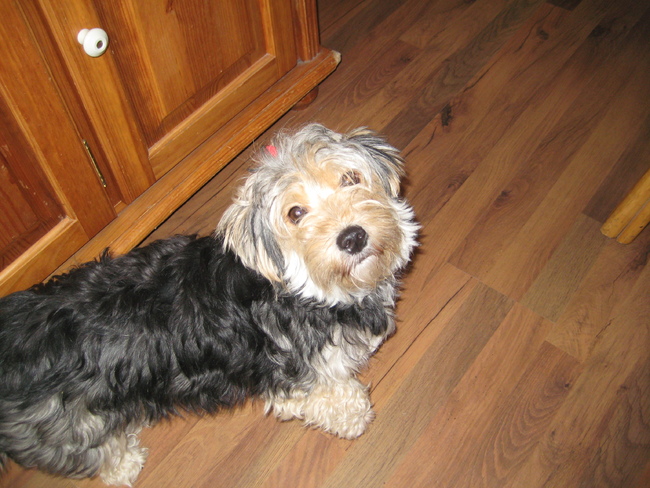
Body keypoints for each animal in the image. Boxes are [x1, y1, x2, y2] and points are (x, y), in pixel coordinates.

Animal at [0, 124, 418, 486]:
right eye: (295, 213)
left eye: (351, 178)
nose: (353, 237)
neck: (308, 290)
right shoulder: (303, 375)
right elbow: (336, 396)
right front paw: (354, 416)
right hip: (67, 425)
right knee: (97, 453)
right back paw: (126, 462)